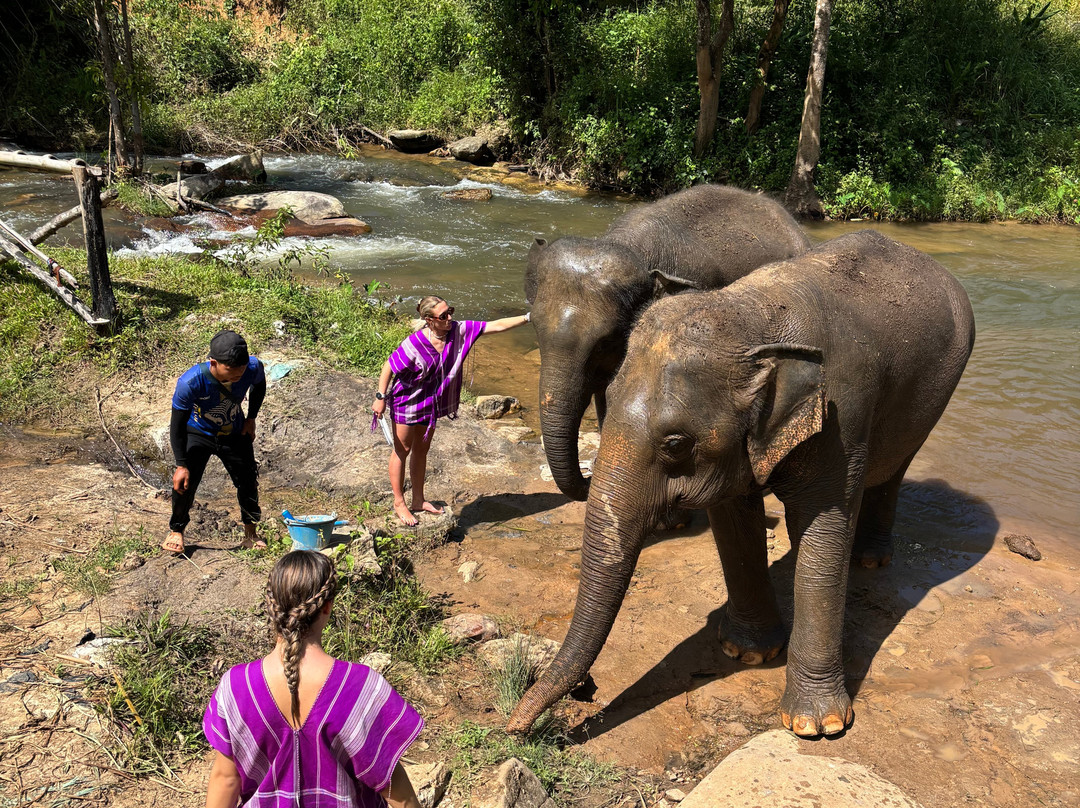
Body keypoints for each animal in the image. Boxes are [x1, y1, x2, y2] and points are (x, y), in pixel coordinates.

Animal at [508, 230, 976, 737]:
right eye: (607, 402)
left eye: (676, 443)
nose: (513, 725)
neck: (751, 314)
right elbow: (733, 519)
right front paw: (746, 653)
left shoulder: (841, 418)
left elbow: (823, 532)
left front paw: (817, 726)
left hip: (938, 389)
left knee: (897, 466)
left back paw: (868, 560)